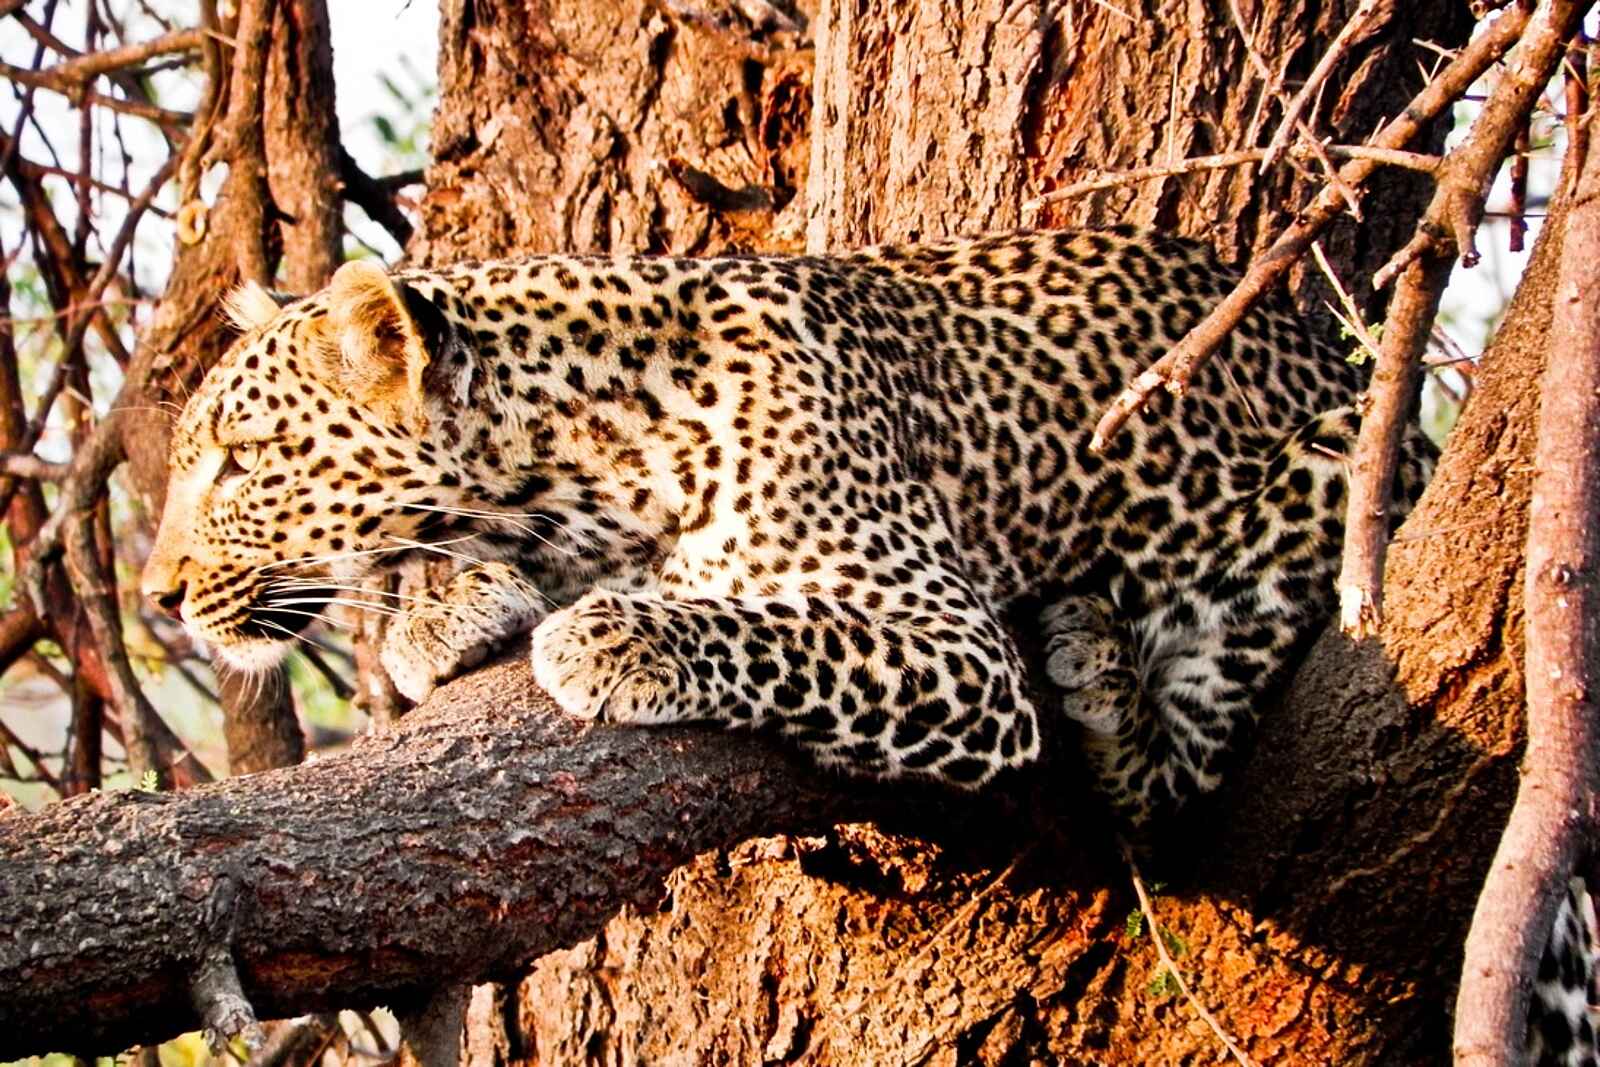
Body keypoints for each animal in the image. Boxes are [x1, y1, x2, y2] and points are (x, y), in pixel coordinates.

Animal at [142, 225, 1435, 831]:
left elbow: (783, 630)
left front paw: (618, 634)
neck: (577, 459)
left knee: (1175, 788)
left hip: (1316, 490)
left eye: (242, 461)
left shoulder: (949, 644)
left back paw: (1104, 678)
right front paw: (453, 604)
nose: (157, 597)